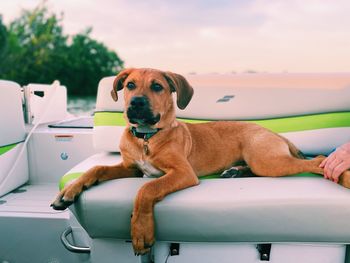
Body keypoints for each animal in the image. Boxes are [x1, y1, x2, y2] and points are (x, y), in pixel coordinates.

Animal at [51, 68, 350, 256]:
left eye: (157, 87)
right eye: (130, 85)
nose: (135, 104)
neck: (148, 138)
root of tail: (274, 133)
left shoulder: (182, 172)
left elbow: (146, 189)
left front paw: (141, 230)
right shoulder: (131, 168)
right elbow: (97, 167)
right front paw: (69, 191)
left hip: (267, 161)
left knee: (317, 161)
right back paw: (234, 172)